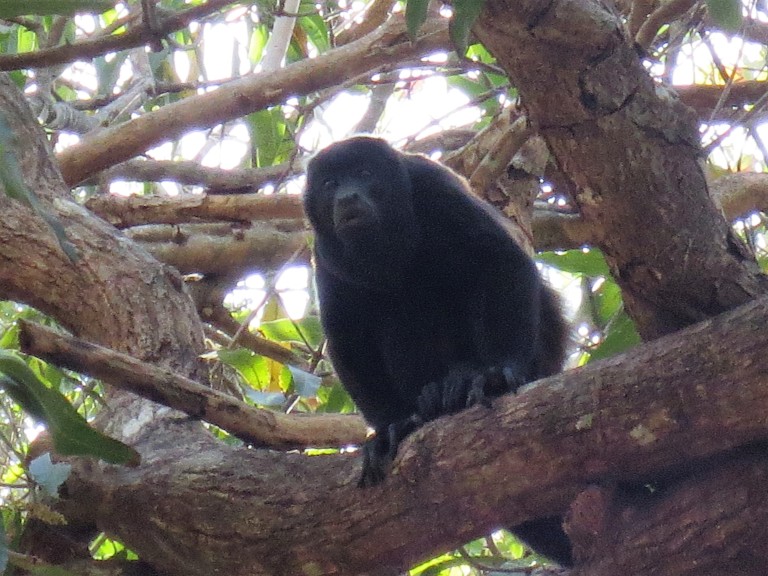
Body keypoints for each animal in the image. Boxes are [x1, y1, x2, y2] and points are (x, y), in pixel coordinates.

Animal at [304, 136, 572, 568]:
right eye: (330, 184)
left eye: (364, 173)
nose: (347, 197)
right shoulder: (324, 254)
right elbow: (348, 339)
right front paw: (390, 427)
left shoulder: (433, 188)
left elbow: (501, 261)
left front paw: (494, 375)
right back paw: (429, 402)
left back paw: (462, 380)